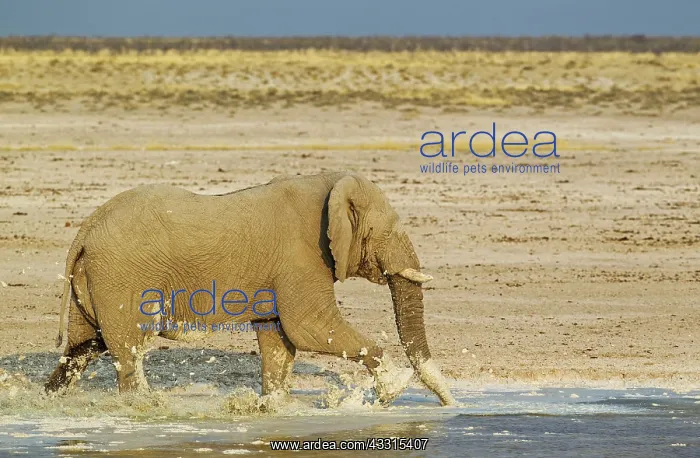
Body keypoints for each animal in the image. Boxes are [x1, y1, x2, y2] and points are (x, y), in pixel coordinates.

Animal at [44, 170, 456, 406]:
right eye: (383, 232)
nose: (450, 405)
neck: (328, 186)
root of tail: (86, 228)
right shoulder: (301, 257)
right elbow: (310, 328)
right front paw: (395, 388)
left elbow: (278, 339)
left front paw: (273, 405)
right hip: (122, 276)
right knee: (128, 350)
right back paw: (146, 406)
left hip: (95, 279)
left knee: (84, 348)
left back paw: (50, 397)